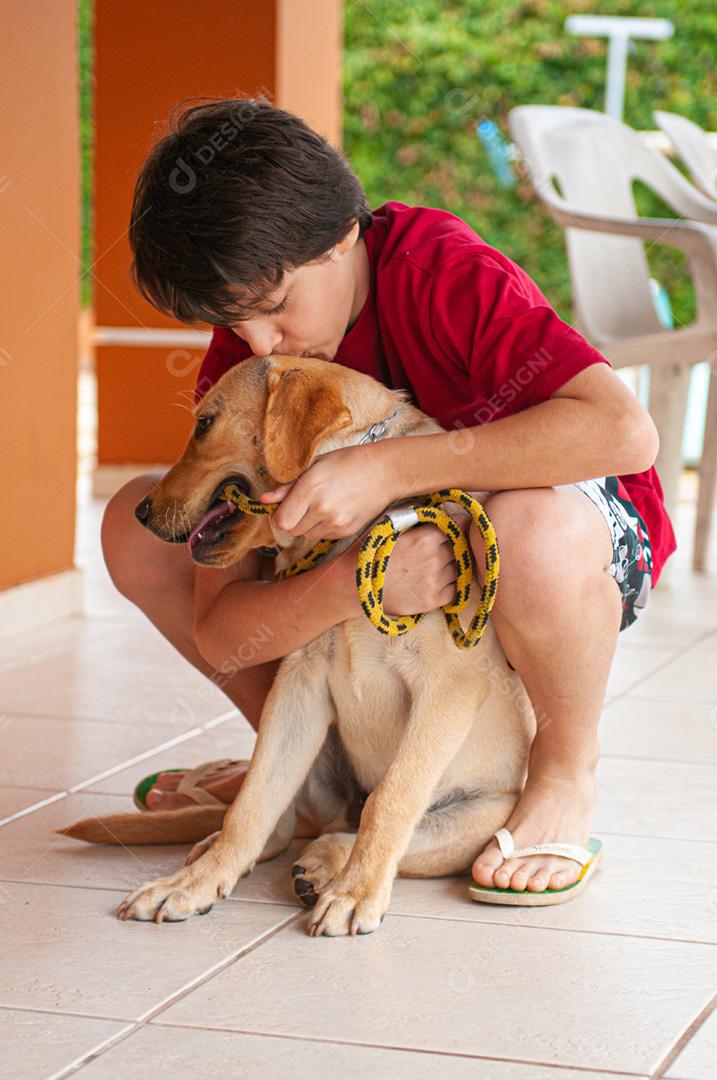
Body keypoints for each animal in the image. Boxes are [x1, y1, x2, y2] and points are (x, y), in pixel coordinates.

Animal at [58, 354, 535, 937]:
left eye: (204, 424)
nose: (142, 513)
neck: (347, 539)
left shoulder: (448, 689)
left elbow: (391, 800)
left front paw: (355, 895)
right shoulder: (298, 685)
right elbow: (252, 804)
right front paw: (190, 887)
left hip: (477, 818)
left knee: (358, 824)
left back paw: (326, 870)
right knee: (284, 824)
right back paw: (229, 852)